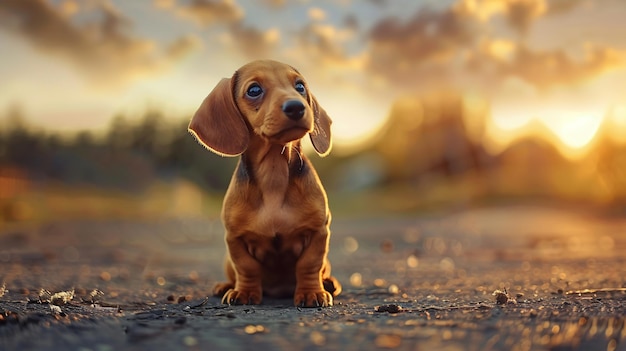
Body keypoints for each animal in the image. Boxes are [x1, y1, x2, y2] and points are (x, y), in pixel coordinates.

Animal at [188, 59, 338, 306]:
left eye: (300, 86)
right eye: (254, 90)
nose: (296, 107)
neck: (273, 174)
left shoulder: (319, 231)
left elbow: (309, 264)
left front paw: (311, 292)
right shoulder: (235, 238)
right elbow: (246, 267)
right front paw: (244, 292)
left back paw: (329, 283)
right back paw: (226, 286)